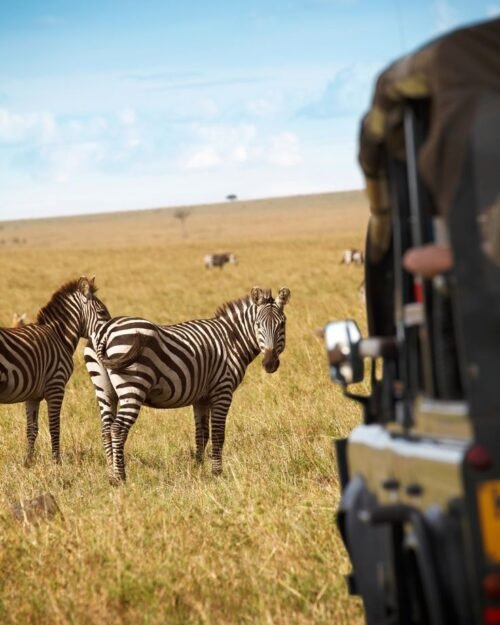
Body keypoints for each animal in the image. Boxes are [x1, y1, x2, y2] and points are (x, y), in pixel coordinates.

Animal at [0, 276, 110, 464]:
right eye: (102, 312)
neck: (59, 336)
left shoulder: (32, 396)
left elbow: (32, 428)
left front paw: (28, 462)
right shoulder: (56, 386)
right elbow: (54, 426)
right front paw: (57, 461)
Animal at [84, 286, 292, 480]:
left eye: (282, 324)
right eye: (258, 324)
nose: (270, 364)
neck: (231, 340)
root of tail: (106, 330)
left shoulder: (201, 398)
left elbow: (202, 434)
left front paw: (198, 469)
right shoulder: (222, 390)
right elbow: (218, 434)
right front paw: (217, 472)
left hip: (104, 390)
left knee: (106, 429)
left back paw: (110, 474)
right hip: (133, 386)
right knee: (118, 429)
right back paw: (120, 478)